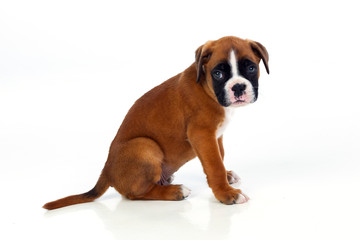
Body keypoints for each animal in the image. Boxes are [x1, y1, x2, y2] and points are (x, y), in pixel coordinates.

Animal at [43, 36, 268, 210]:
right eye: (218, 73)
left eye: (250, 67)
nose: (238, 87)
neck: (207, 87)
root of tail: (106, 171)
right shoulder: (202, 134)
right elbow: (214, 165)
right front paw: (226, 193)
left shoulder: (216, 136)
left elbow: (219, 156)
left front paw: (227, 176)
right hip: (145, 145)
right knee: (134, 194)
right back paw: (175, 191)